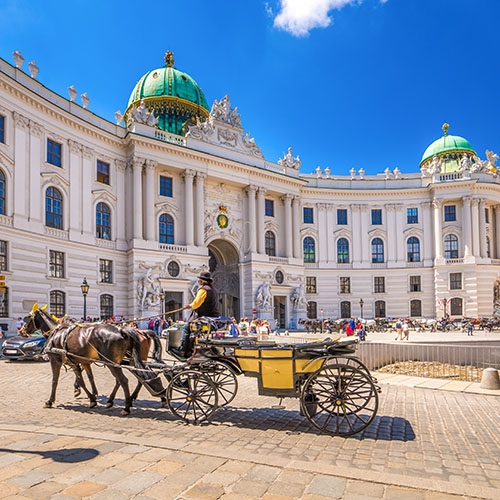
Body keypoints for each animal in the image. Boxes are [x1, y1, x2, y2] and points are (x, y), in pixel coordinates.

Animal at [22, 302, 150, 416]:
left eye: (27, 318)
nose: (21, 331)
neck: (56, 333)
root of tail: (121, 330)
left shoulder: (55, 361)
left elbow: (55, 381)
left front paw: (50, 401)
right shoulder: (78, 363)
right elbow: (84, 380)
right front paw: (92, 398)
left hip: (111, 363)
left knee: (123, 380)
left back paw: (126, 407)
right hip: (120, 362)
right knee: (128, 378)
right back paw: (116, 401)